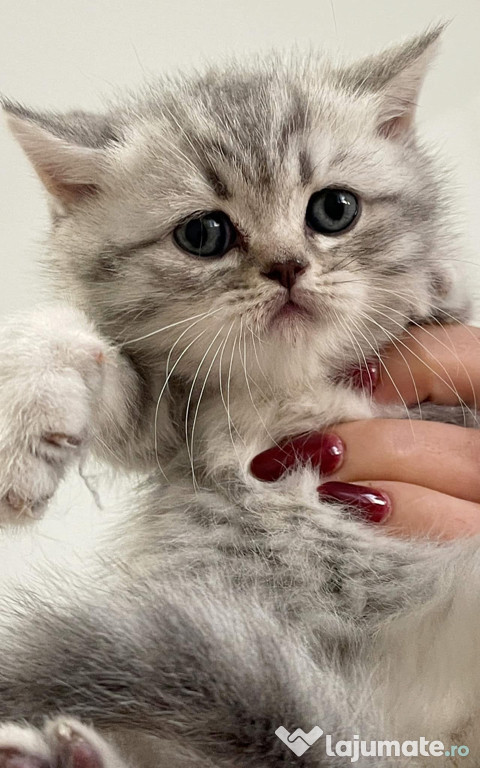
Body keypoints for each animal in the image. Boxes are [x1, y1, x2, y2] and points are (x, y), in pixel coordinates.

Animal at [0, 24, 476, 768]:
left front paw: (433, 279)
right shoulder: (172, 422)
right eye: (204, 234)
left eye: (334, 209)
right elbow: (77, 340)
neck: (287, 385)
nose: (287, 267)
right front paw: (27, 413)